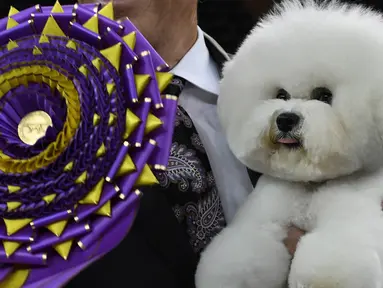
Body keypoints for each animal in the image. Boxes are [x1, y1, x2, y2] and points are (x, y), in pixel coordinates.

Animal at [195, 0, 383, 288]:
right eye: (281, 94)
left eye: (324, 96)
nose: (284, 119)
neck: (310, 186)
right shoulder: (267, 208)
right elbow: (248, 245)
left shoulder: (351, 206)